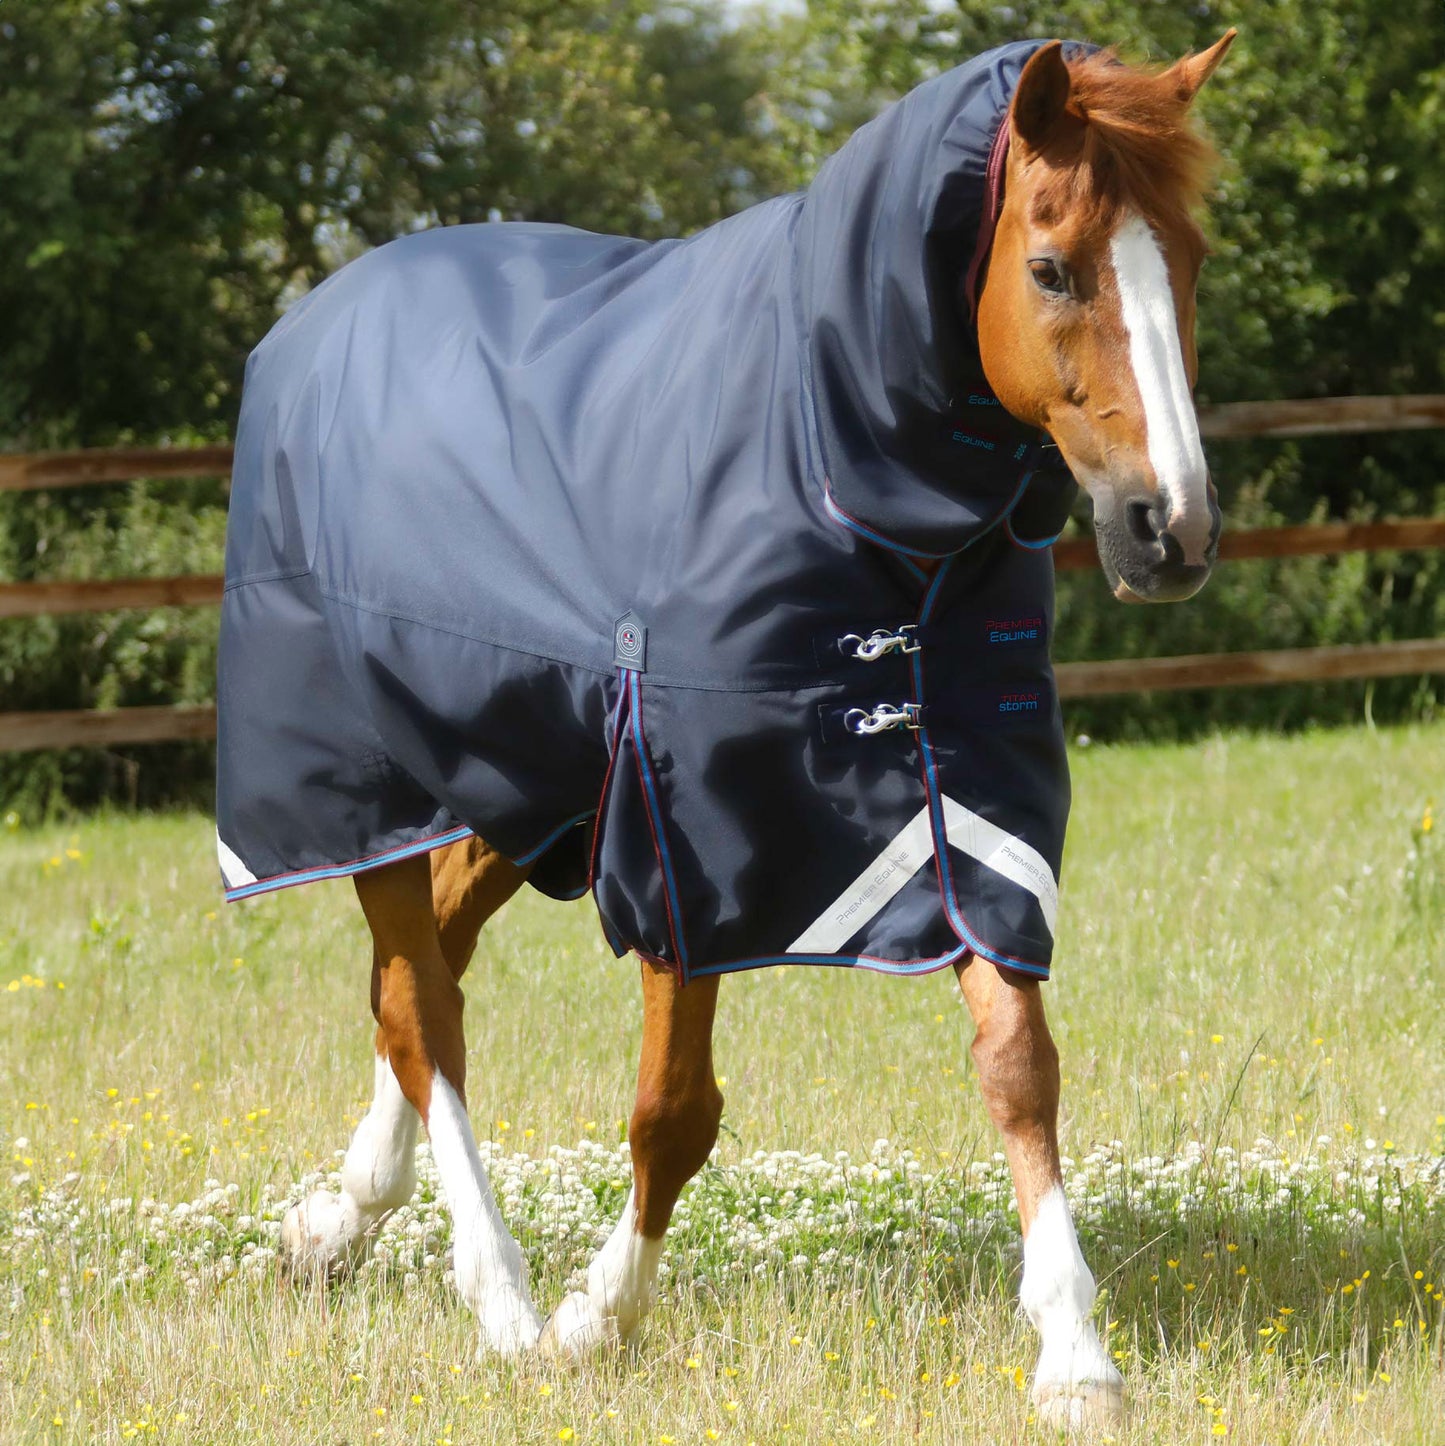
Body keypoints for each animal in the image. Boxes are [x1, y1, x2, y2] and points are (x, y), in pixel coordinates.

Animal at [218, 32, 1235, 1428]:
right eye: (1050, 267)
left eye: (1185, 259)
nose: (1168, 530)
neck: (831, 462)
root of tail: (311, 322)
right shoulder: (685, 831)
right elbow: (673, 1110)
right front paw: (596, 1318)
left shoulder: (966, 802)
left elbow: (1018, 1065)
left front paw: (1075, 1356)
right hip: (370, 786)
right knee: (423, 1006)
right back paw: (501, 1300)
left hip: (519, 781)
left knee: (421, 970)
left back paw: (338, 1223)